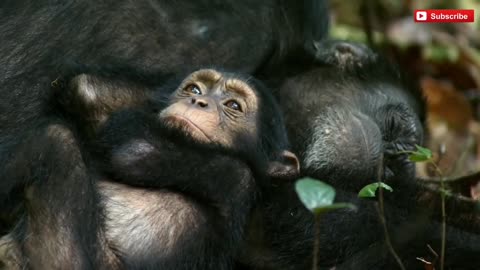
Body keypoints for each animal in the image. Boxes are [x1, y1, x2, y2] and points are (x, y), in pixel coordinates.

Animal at [0, 68, 300, 268]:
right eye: (194, 89)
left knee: (55, 141)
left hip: (61, 260)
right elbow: (84, 87)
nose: (198, 102)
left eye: (233, 105)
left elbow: (135, 149)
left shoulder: (232, 174)